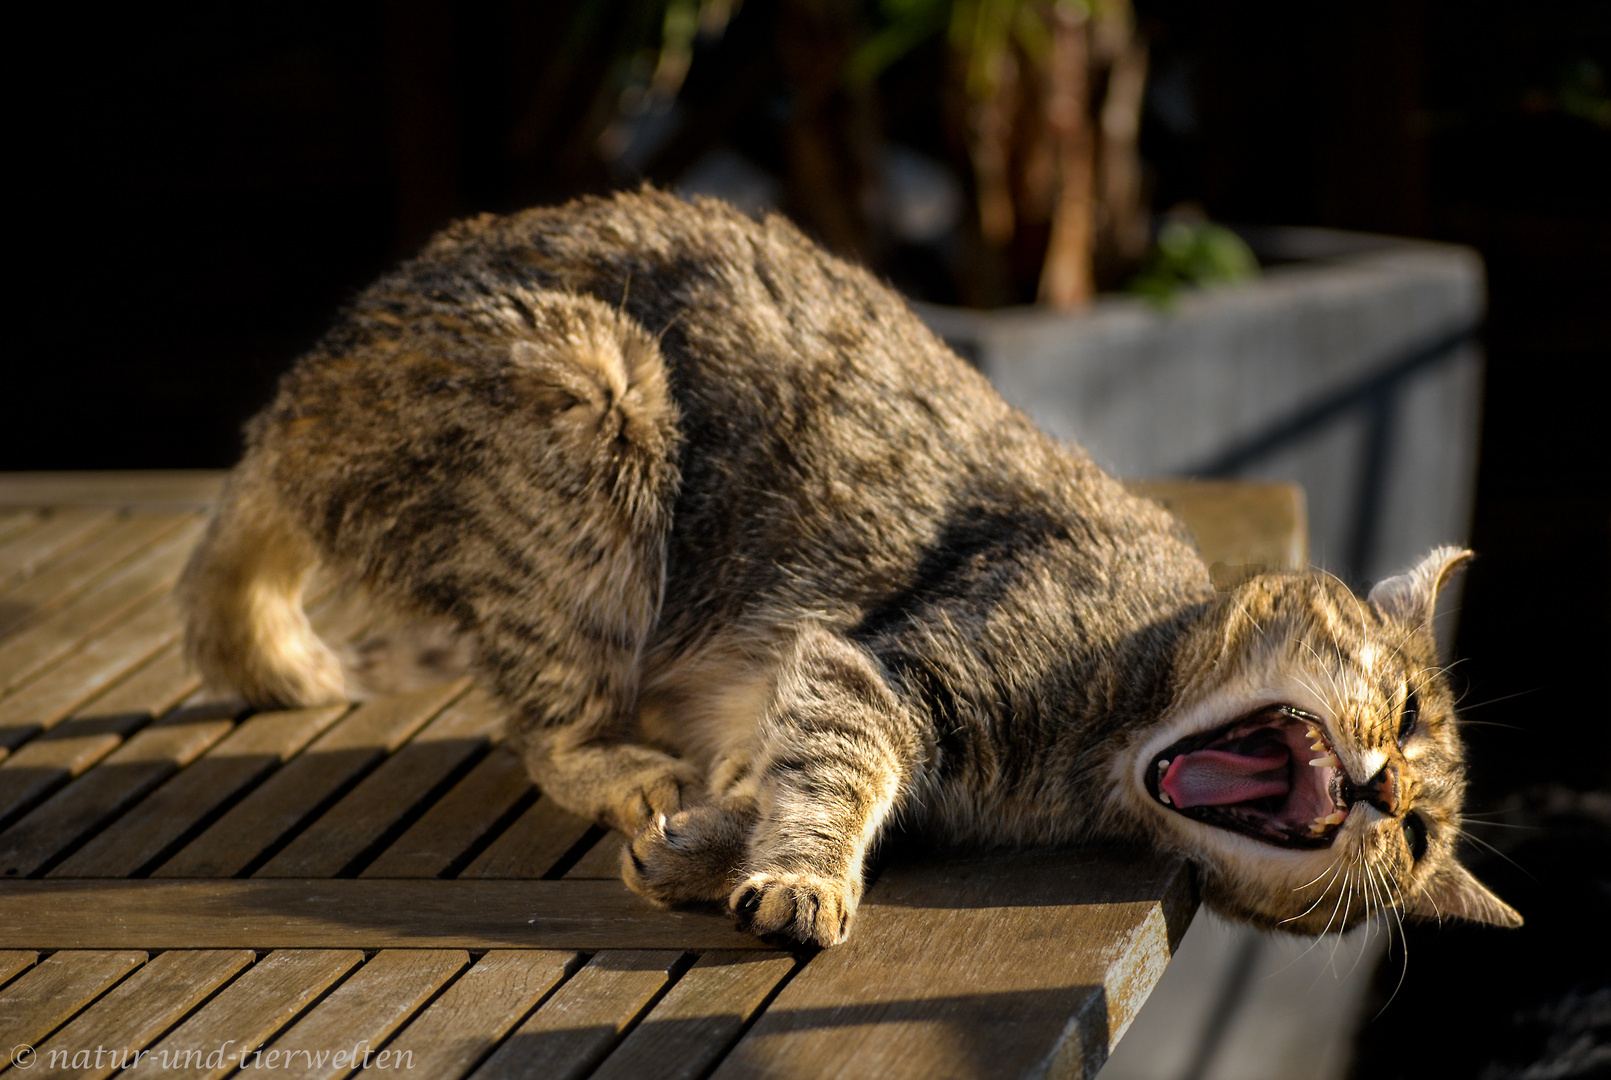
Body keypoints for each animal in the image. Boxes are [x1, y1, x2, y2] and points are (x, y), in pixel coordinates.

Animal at [179, 186, 1520, 947]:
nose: (1389, 791)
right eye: (1406, 707)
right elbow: (836, 768)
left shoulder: (832, 704)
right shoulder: (882, 667)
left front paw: (708, 849)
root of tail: (290, 411)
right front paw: (797, 875)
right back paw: (623, 766)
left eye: (1416, 842)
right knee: (546, 726)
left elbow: (783, 772)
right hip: (595, 396)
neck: (1095, 760)